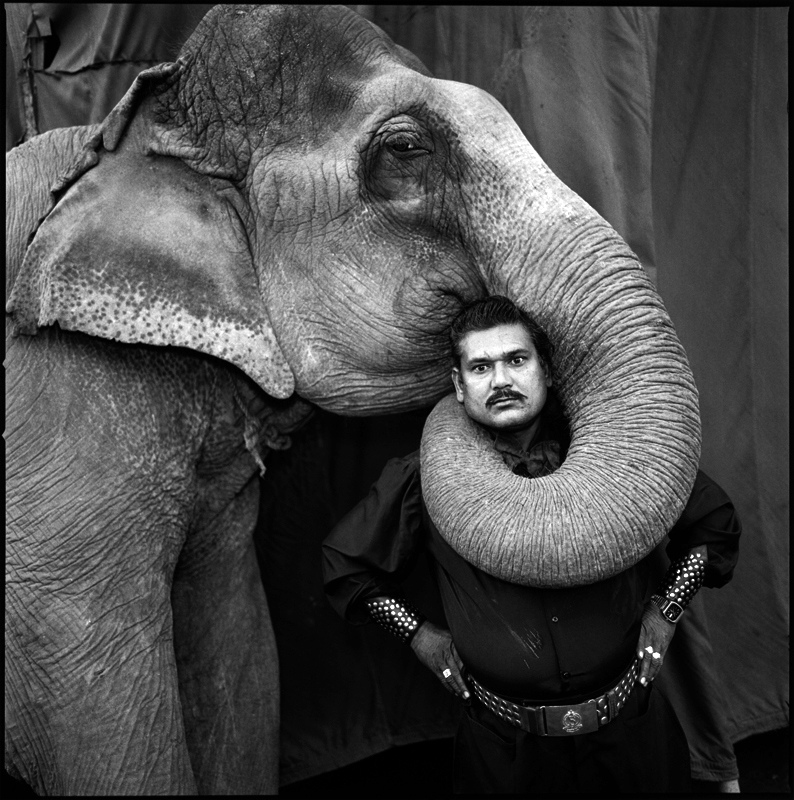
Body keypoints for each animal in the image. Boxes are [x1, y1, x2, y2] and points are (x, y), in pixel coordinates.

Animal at [6, 4, 700, 792]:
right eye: (405, 148)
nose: (488, 385)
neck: (122, 138)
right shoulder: (57, 459)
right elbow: (101, 725)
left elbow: (242, 658)